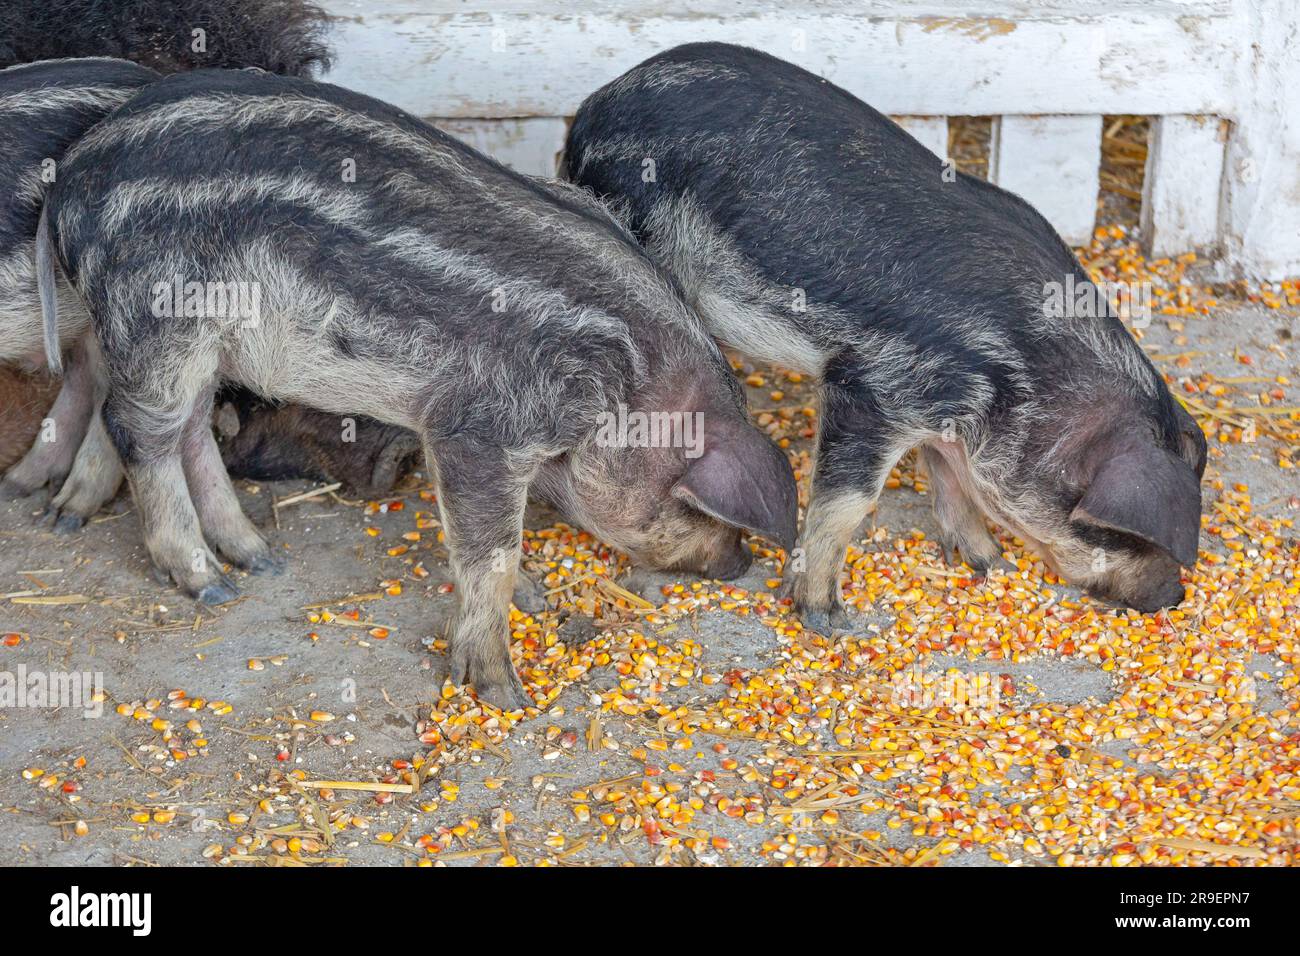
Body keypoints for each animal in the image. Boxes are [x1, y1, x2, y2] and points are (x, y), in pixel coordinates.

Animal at [40, 67, 799, 709]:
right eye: (690, 505)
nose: (741, 562)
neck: (629, 386)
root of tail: (70, 176)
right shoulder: (478, 430)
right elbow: (492, 551)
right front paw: (502, 693)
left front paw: (535, 602)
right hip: (157, 324)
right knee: (139, 431)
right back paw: (207, 586)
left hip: (202, 346)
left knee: (194, 429)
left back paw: (260, 560)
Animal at [564, 42, 1207, 624]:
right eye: (1118, 534)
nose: (1173, 597)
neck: (1028, 376)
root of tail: (594, 106)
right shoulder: (873, 386)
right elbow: (849, 501)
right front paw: (825, 617)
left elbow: (950, 478)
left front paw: (988, 563)